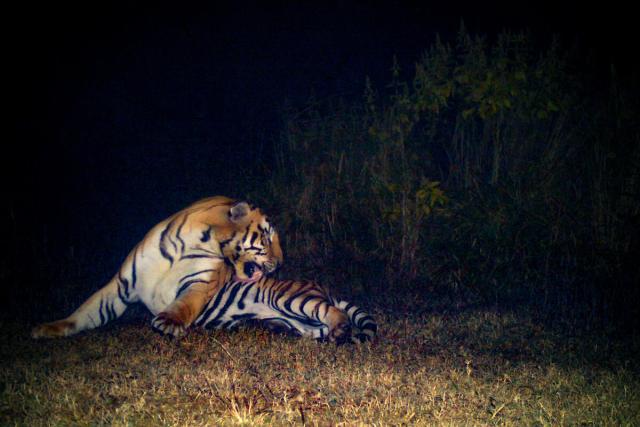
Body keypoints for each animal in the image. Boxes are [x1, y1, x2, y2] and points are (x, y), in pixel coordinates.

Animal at [31, 196, 283, 339]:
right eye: (267, 237)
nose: (281, 262)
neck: (199, 241)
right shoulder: (121, 286)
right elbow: (87, 311)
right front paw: (50, 328)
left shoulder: (200, 283)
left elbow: (185, 304)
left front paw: (169, 322)